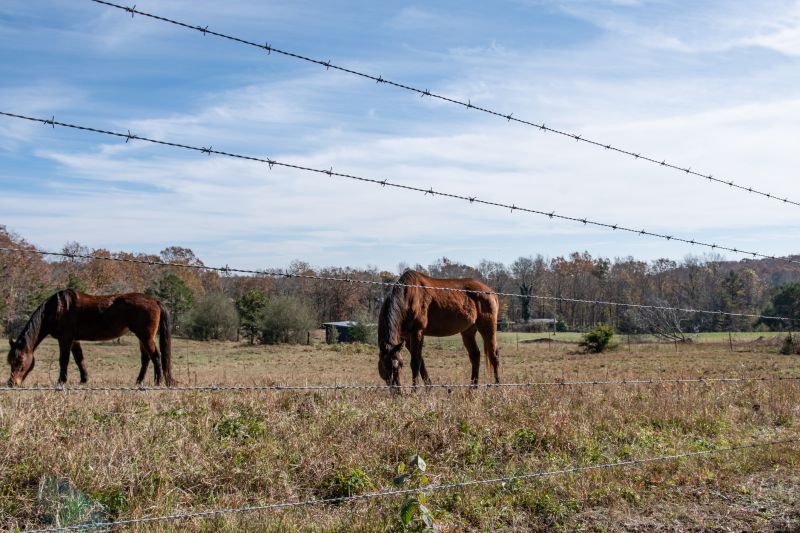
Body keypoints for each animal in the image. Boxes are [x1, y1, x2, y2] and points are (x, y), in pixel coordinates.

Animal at [6, 289, 175, 387]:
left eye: (19, 361)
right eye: (10, 361)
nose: (11, 382)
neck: (57, 308)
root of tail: (155, 300)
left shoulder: (65, 339)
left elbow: (64, 360)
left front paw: (61, 381)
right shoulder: (74, 340)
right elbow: (79, 359)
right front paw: (84, 379)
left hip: (145, 336)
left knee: (156, 356)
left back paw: (158, 381)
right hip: (142, 337)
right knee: (146, 359)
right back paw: (139, 381)